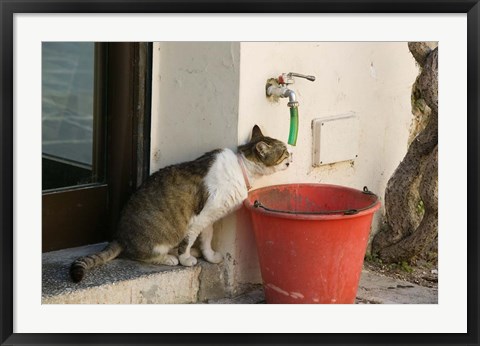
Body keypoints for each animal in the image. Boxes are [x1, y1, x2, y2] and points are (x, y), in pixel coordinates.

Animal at [69, 125, 290, 282]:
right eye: (285, 152)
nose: (293, 154)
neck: (241, 168)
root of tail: (119, 236)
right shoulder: (198, 219)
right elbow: (188, 240)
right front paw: (186, 259)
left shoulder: (209, 218)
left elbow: (207, 239)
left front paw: (209, 256)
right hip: (157, 237)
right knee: (139, 254)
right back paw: (170, 257)